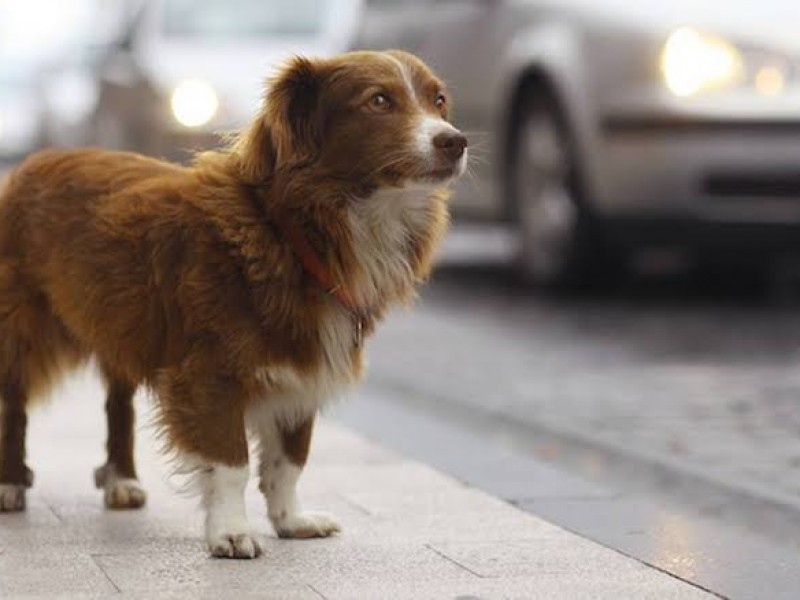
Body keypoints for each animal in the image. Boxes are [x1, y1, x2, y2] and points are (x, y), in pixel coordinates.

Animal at [0, 49, 468, 556]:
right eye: (379, 100)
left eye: (439, 101)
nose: (455, 141)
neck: (289, 232)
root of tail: (35, 160)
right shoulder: (210, 373)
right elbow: (231, 463)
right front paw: (230, 532)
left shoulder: (301, 371)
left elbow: (290, 461)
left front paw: (291, 520)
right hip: (22, 329)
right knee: (14, 405)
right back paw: (11, 483)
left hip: (117, 322)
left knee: (118, 405)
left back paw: (121, 481)